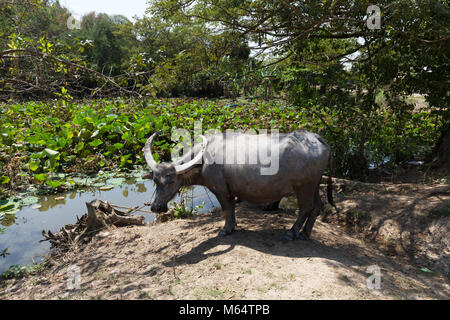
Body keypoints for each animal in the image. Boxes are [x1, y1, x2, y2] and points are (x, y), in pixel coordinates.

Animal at [144, 130, 334, 240]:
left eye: (170, 181)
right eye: (155, 181)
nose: (156, 207)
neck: (205, 159)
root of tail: (317, 139)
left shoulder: (220, 191)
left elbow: (227, 209)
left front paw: (225, 229)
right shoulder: (231, 191)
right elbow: (232, 209)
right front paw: (233, 226)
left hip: (304, 187)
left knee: (306, 207)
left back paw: (292, 232)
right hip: (315, 185)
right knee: (318, 205)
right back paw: (305, 233)